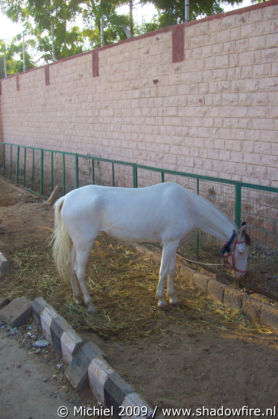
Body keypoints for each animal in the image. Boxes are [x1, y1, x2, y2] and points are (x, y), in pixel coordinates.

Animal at [52, 182, 250, 314]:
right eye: (240, 251)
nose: (241, 275)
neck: (187, 205)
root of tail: (67, 198)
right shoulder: (169, 242)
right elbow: (163, 270)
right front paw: (161, 300)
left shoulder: (173, 243)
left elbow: (171, 270)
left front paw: (173, 297)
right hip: (84, 243)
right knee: (79, 271)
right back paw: (90, 303)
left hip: (77, 243)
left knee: (70, 267)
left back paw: (77, 298)